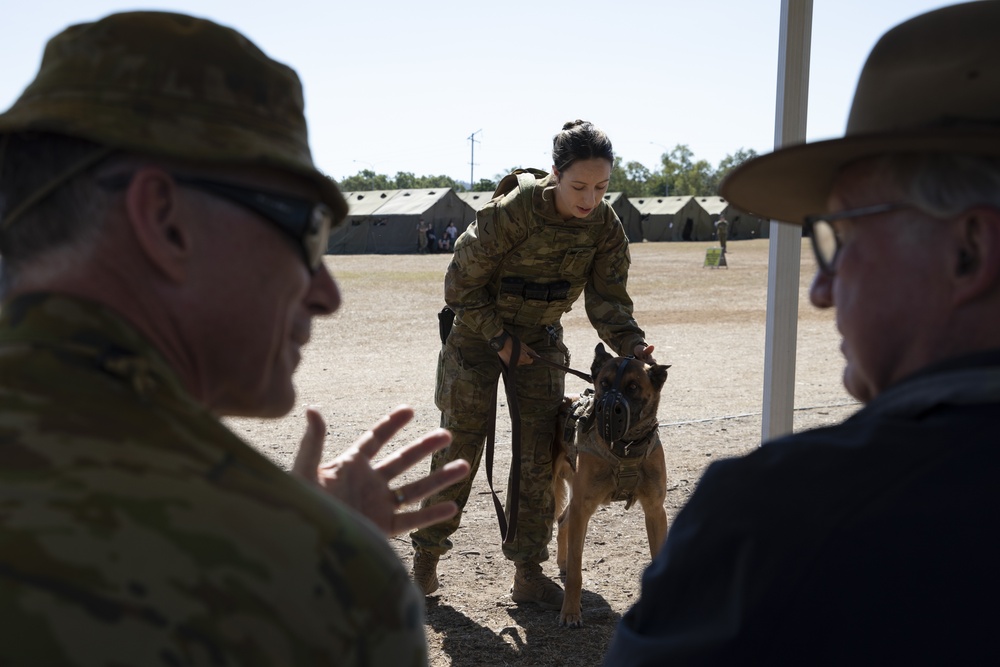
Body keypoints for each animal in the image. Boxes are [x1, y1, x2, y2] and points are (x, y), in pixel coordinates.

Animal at [556, 342, 672, 628]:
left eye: (633, 387)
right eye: (604, 383)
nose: (609, 408)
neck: (626, 448)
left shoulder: (655, 511)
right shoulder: (583, 508)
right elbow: (576, 571)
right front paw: (570, 612)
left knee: (563, 521)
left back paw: (561, 561)